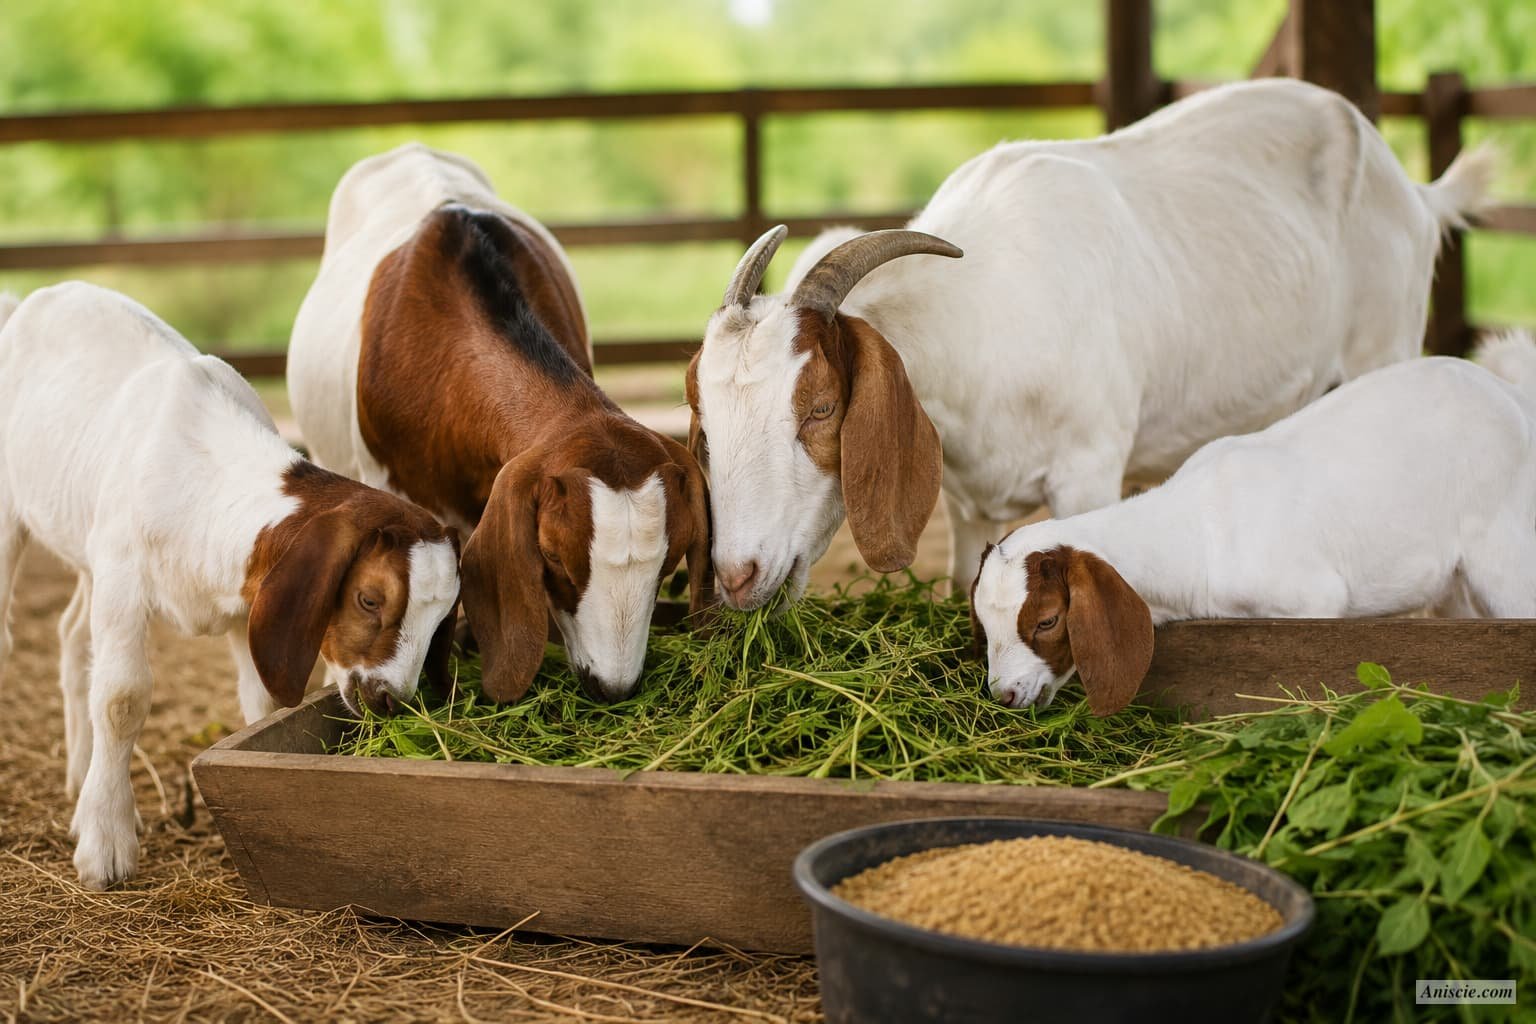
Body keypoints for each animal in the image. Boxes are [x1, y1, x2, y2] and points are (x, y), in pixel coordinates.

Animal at [0, 283, 460, 888]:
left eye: (440, 621)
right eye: (369, 599)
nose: (390, 700)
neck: (202, 478)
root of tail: (37, 296)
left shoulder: (249, 605)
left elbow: (260, 699)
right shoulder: (123, 576)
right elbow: (122, 697)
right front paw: (107, 847)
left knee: (73, 630)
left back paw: (78, 778)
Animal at [687, 79, 1496, 608]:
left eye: (822, 410)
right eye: (707, 430)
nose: (737, 576)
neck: (982, 310)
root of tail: (1416, 193)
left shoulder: (1089, 467)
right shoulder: (967, 503)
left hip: (1383, 345)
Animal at [970, 339, 1536, 714]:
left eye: (1048, 620)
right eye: (983, 623)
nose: (1004, 694)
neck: (1197, 535)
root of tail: (1510, 393)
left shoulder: (1314, 602)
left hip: (1505, 549)